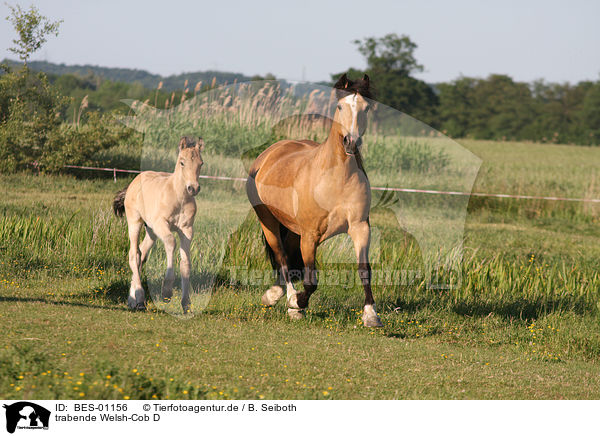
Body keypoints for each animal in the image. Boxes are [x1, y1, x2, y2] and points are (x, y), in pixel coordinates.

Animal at [113, 138, 205, 312]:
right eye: (182, 162)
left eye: (201, 163)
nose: (193, 188)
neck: (178, 197)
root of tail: (134, 182)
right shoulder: (161, 224)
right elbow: (171, 242)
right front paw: (167, 292)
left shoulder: (187, 230)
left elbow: (185, 264)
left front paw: (186, 304)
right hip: (135, 222)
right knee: (133, 254)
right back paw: (140, 299)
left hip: (151, 231)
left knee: (141, 253)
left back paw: (132, 300)